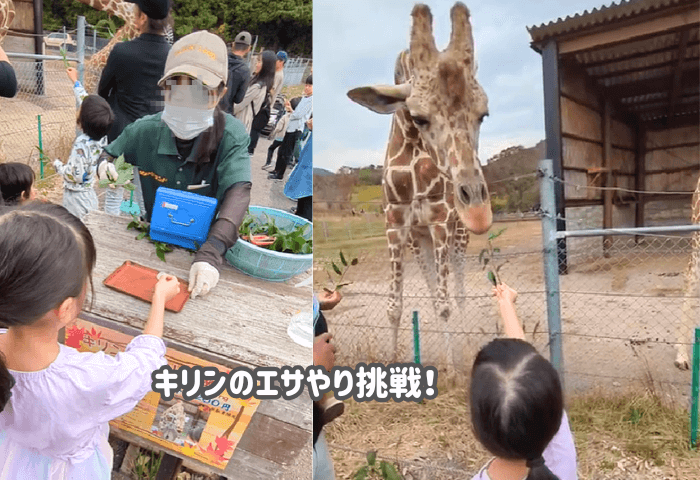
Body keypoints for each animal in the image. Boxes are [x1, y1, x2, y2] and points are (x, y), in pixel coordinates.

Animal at [346, 1, 490, 374]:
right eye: (419, 117)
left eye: (483, 114)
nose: (478, 210)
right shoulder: (395, 225)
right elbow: (395, 306)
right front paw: (397, 360)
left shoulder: (440, 221)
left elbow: (445, 303)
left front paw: (453, 370)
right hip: (419, 240)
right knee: (433, 289)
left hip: (457, 237)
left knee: (458, 292)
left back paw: (466, 348)